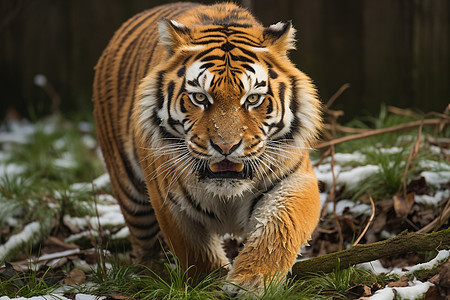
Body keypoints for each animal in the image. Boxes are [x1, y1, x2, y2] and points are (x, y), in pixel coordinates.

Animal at [93, 1, 322, 294]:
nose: (226, 146)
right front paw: (209, 285)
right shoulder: (169, 201)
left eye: (253, 99)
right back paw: (151, 273)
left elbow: (278, 230)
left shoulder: (293, 180)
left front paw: (252, 282)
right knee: (143, 243)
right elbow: (197, 253)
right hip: (130, 193)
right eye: (200, 98)